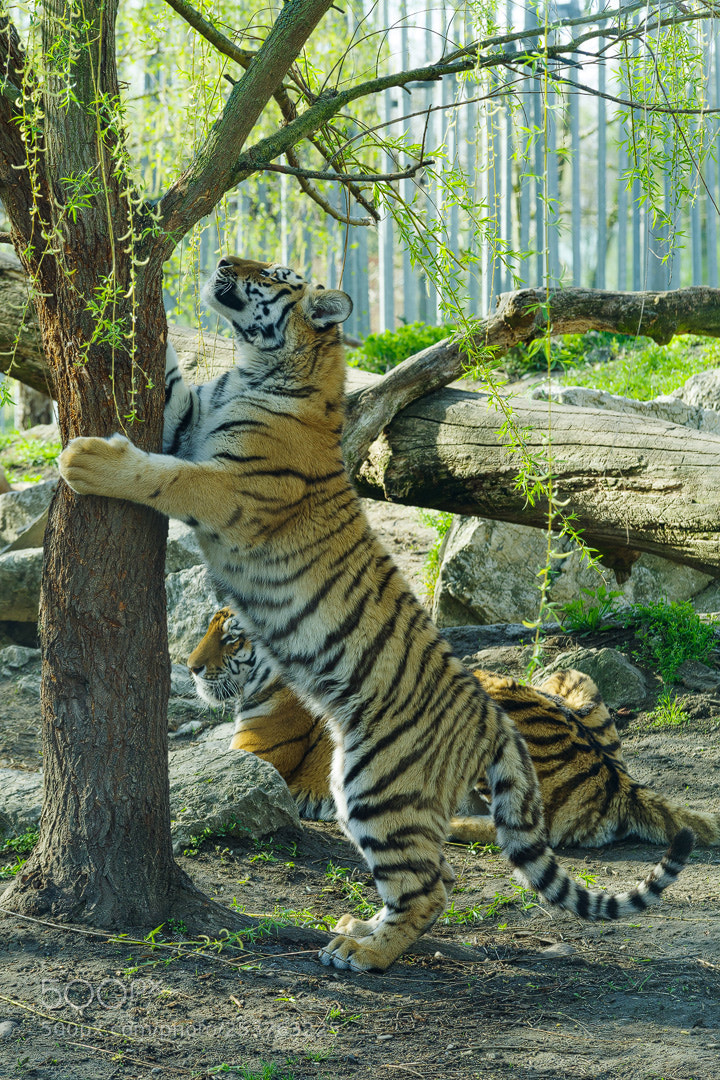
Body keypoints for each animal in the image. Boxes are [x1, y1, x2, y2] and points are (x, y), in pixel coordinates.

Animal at [189, 607, 720, 848]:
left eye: (232, 638)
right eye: (208, 627)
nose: (190, 667)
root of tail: (616, 779)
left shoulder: (257, 760)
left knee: (525, 828)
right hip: (571, 681)